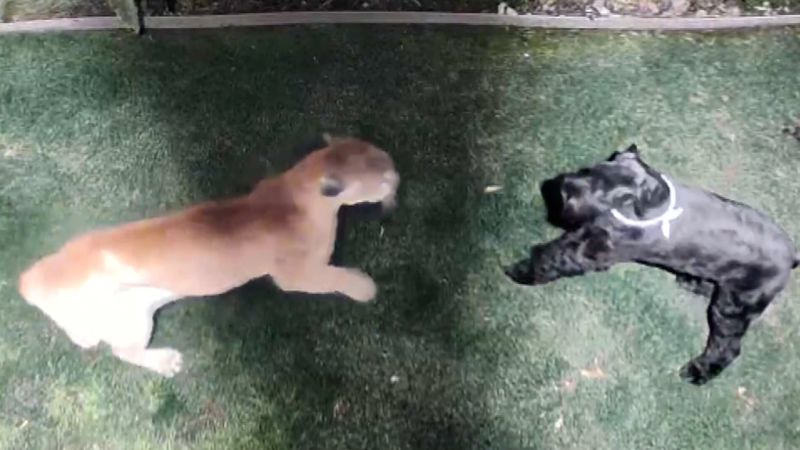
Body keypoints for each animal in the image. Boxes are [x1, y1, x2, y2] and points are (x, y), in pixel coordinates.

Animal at [17, 136, 399, 377]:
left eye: (383, 154)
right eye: (381, 178)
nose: (396, 175)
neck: (297, 188)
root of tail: (36, 276)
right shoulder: (294, 275)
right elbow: (334, 276)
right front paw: (365, 288)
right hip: (130, 320)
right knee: (120, 350)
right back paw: (166, 363)